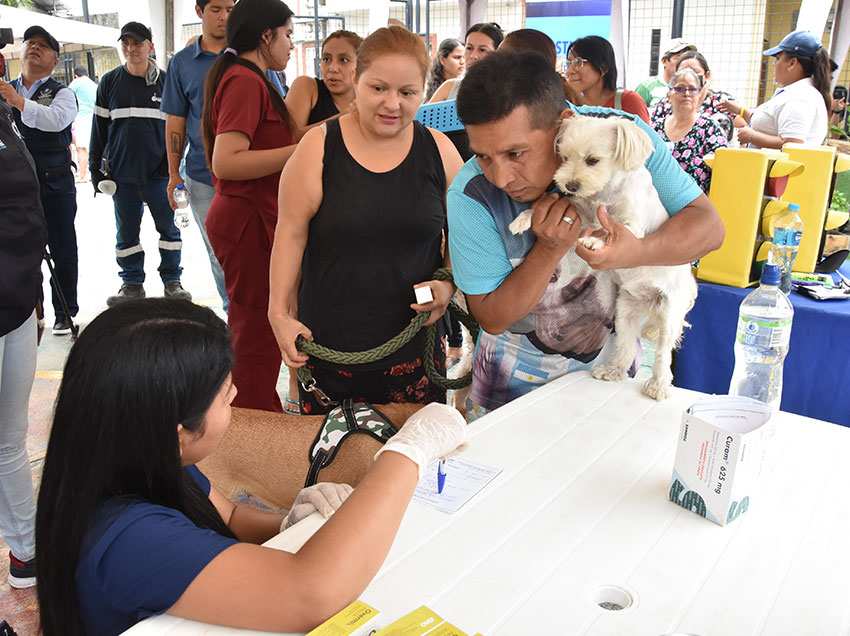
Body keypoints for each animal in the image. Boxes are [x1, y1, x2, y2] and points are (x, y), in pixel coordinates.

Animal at [506, 115, 692, 398]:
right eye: (564, 157)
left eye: (593, 160)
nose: (570, 185)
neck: (604, 192)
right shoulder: (580, 213)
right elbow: (548, 210)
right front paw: (524, 218)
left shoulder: (632, 225)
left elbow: (615, 233)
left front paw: (595, 241)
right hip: (625, 311)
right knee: (625, 344)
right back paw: (613, 371)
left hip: (669, 314)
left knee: (662, 354)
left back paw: (658, 385)